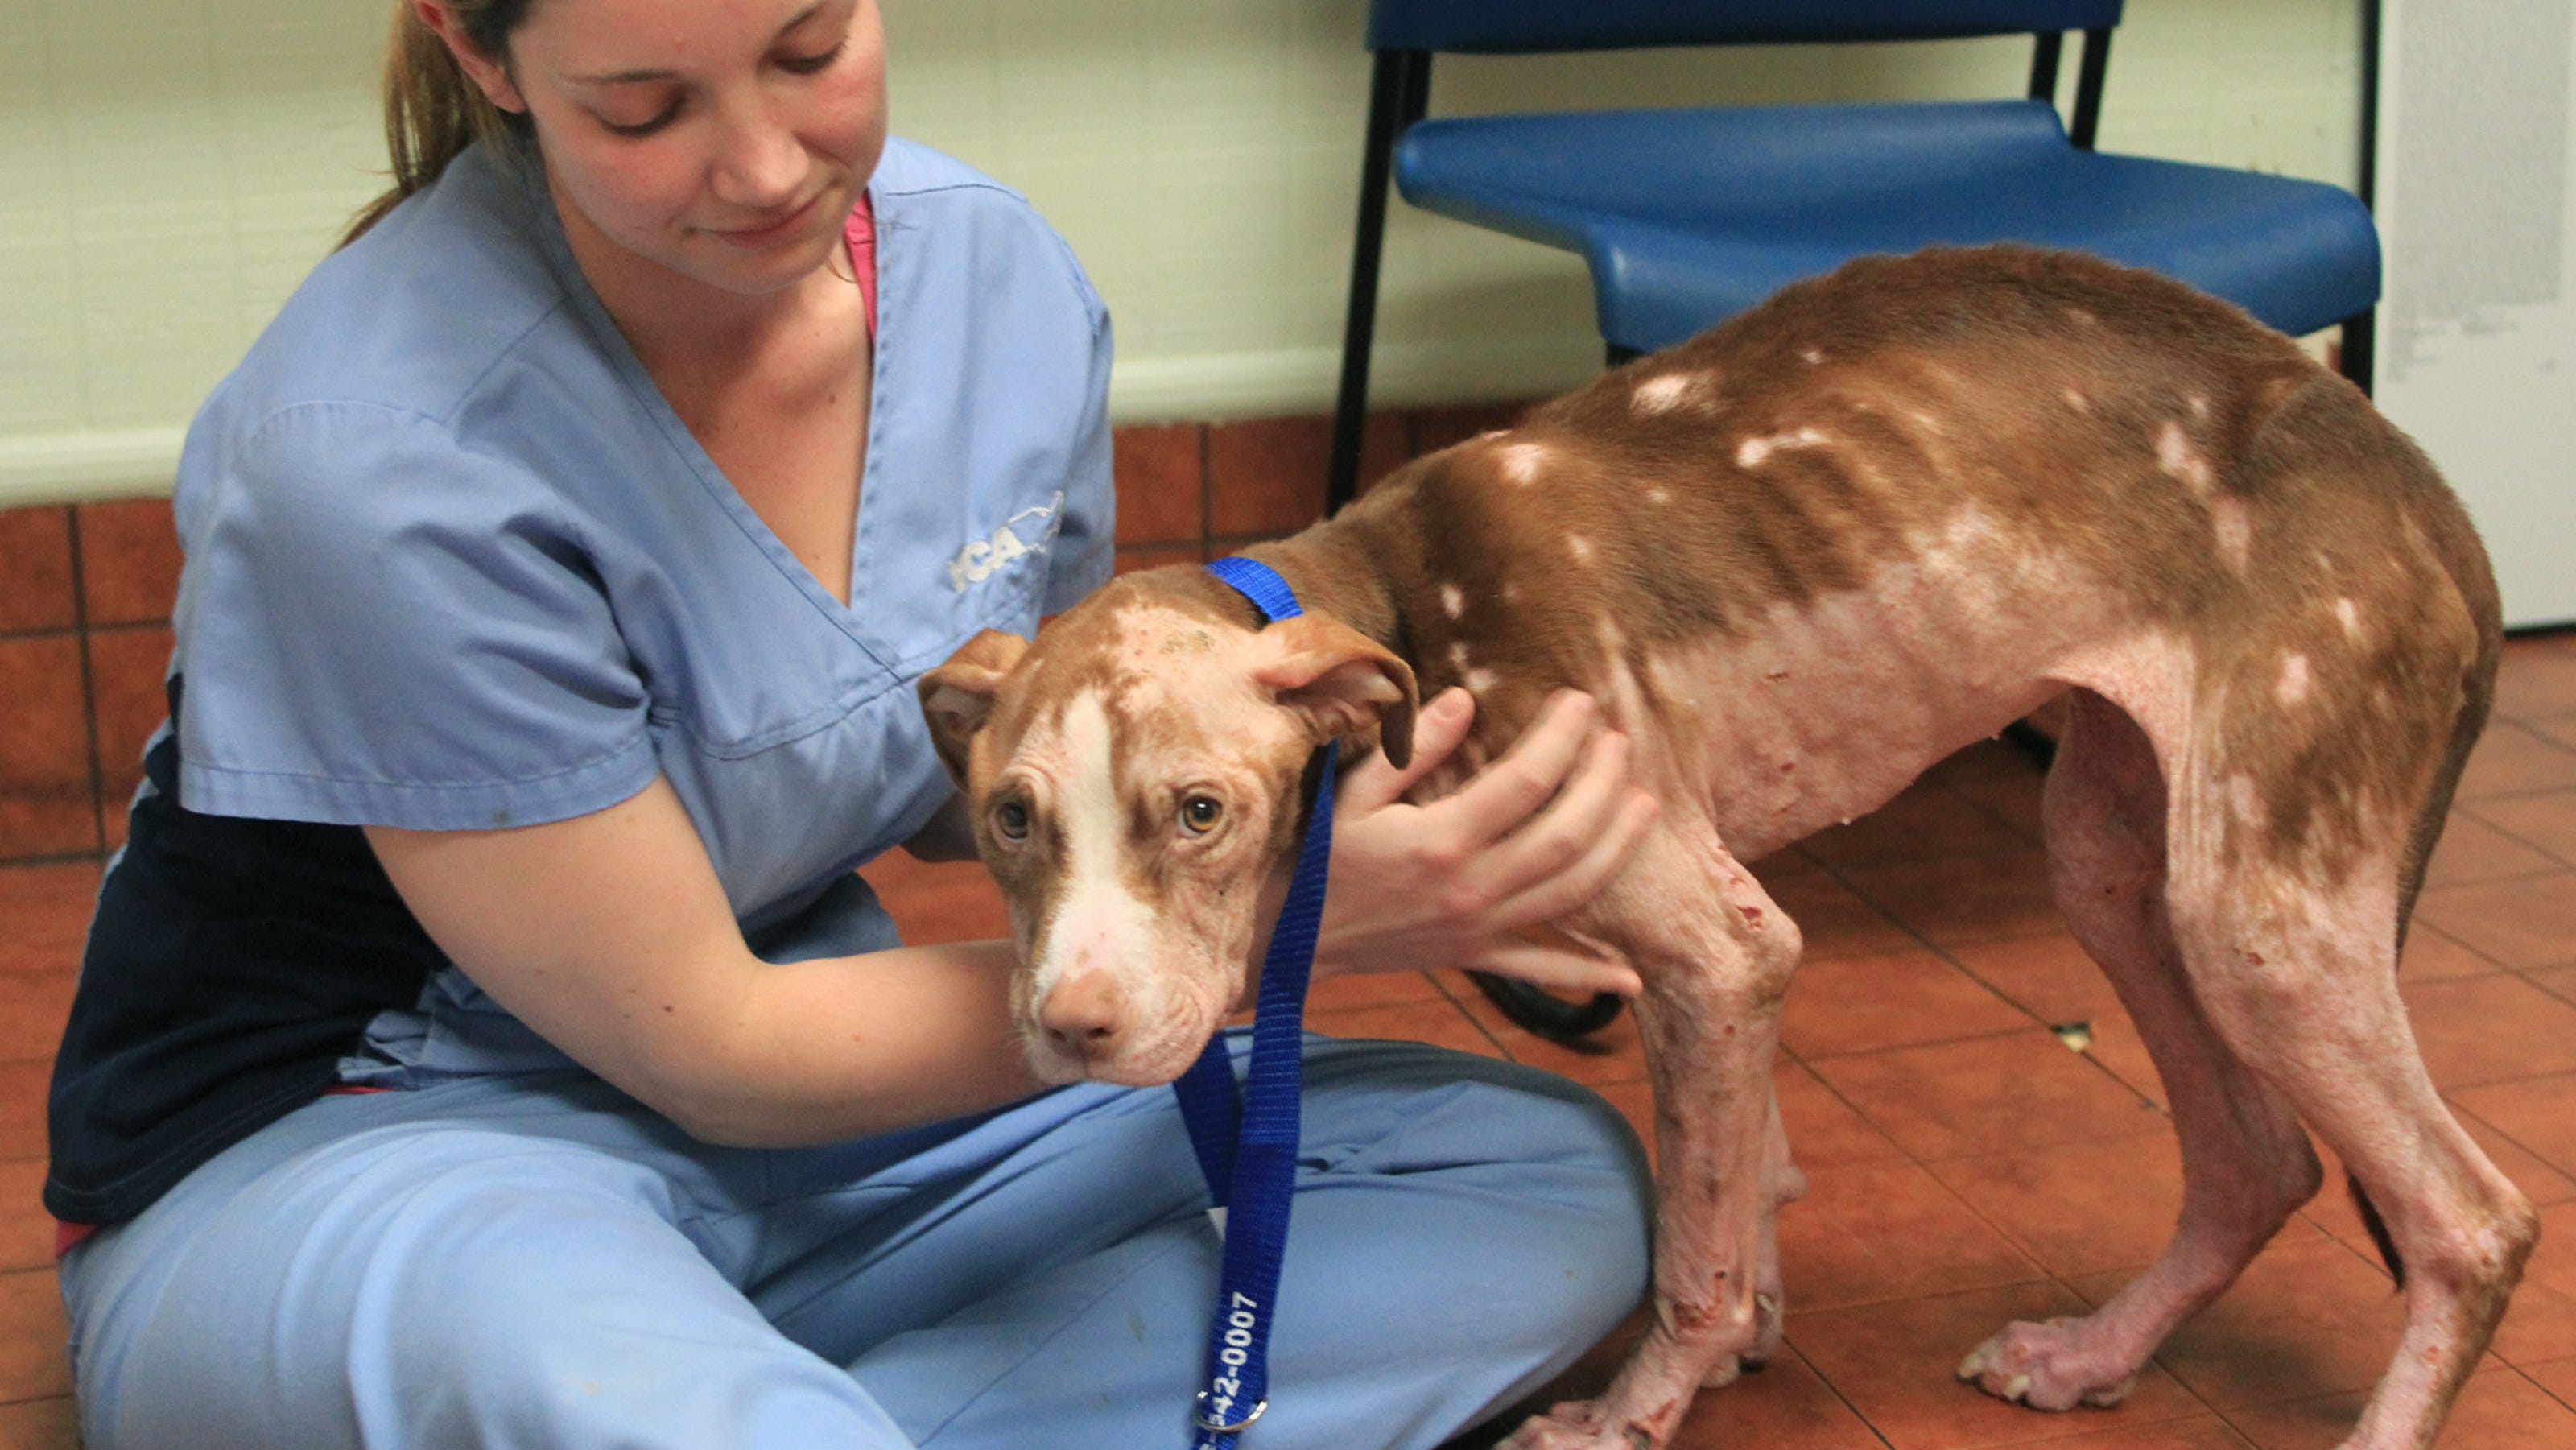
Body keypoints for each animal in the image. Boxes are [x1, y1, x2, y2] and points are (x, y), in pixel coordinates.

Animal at [917, 250, 2524, 1450]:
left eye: (1201, 812)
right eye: (1012, 820)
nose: (1071, 1029)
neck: (1402, 607)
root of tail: (2432, 495)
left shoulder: (1720, 944)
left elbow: (1690, 1255)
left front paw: (1638, 1407)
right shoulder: (1709, 969)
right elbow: (1745, 1185)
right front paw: (1752, 1325)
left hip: (2259, 920)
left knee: (2476, 1223)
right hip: (2121, 863)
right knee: (2257, 1161)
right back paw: (2095, 1353)